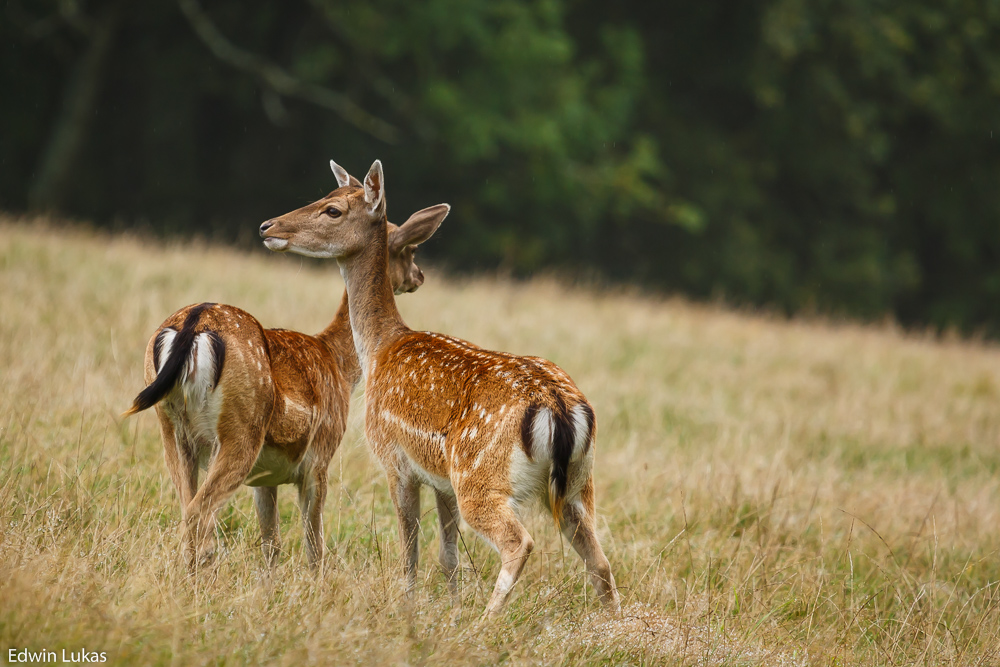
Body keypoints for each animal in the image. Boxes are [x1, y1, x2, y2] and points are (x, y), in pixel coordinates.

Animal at [123, 164, 452, 572]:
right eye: (409, 246)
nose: (419, 275)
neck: (338, 364)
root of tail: (192, 325)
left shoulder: (266, 477)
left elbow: (272, 544)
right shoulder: (319, 458)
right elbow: (315, 549)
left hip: (171, 427)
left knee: (188, 510)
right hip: (239, 430)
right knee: (200, 517)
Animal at [260, 159, 616, 620]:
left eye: (333, 209)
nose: (267, 226)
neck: (379, 349)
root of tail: (557, 408)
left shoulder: (394, 458)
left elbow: (409, 549)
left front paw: (408, 606)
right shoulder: (440, 480)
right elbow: (448, 555)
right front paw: (450, 607)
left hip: (480, 476)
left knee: (519, 542)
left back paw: (486, 621)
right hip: (578, 485)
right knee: (600, 560)